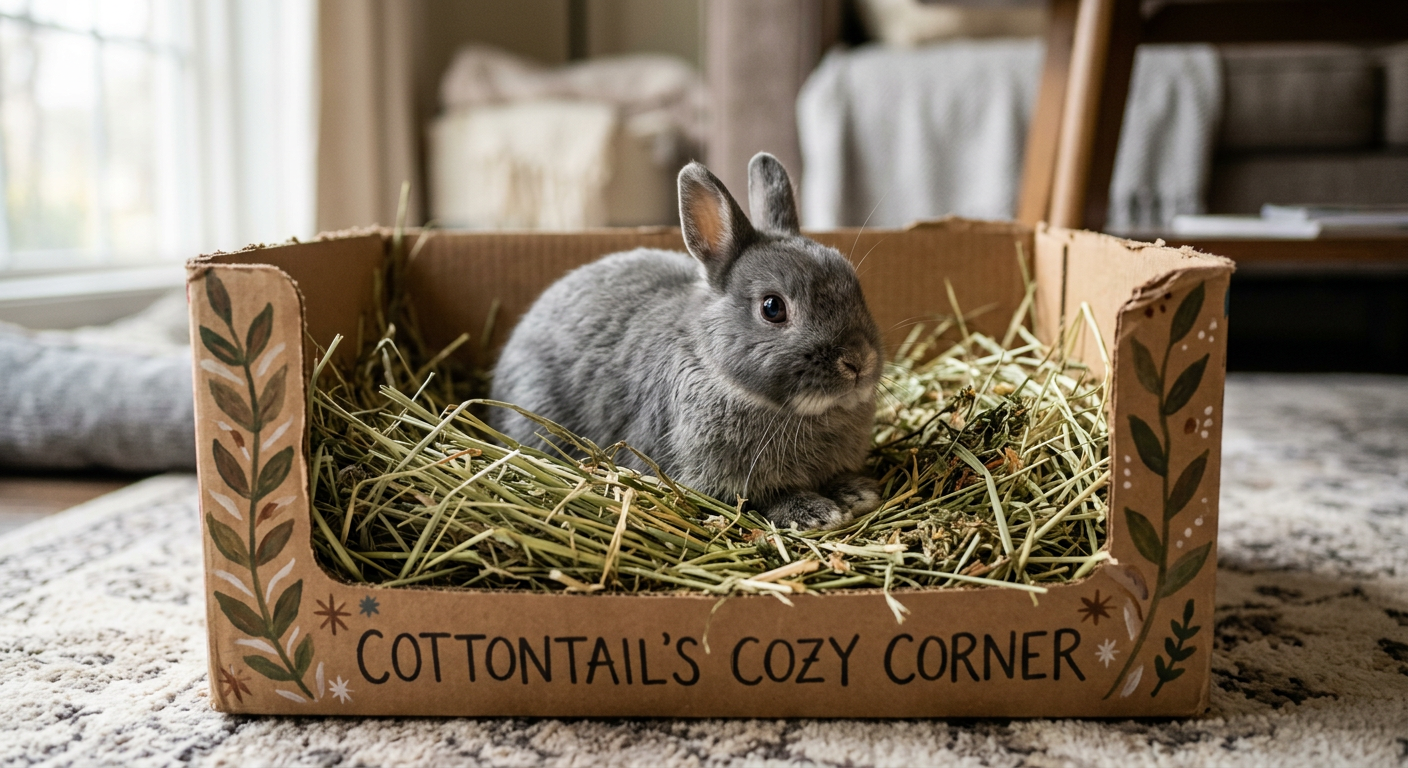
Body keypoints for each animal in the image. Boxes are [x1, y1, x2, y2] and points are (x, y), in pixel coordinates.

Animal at [489, 152, 883, 530]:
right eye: (772, 308)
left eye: (855, 286)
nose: (858, 362)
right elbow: (760, 499)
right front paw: (815, 512)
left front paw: (858, 492)